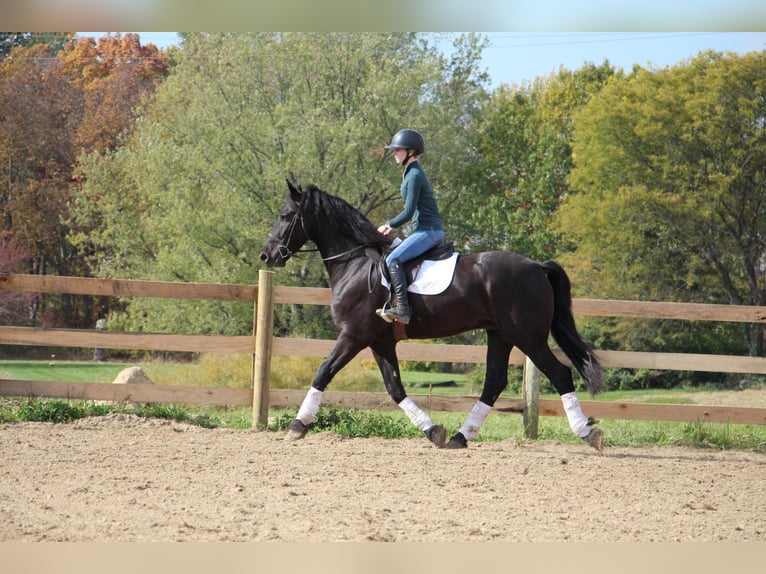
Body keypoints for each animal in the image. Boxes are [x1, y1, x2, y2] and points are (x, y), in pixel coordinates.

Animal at [262, 182, 608, 452]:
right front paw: (433, 431)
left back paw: (587, 433)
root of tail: (536, 266)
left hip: (527, 336)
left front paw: (297, 425)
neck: (355, 262)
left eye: (285, 216)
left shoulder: (353, 335)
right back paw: (459, 436)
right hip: (500, 335)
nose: (267, 255)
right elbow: (394, 388)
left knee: (559, 374)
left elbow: (323, 372)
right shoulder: (379, 341)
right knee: (494, 382)